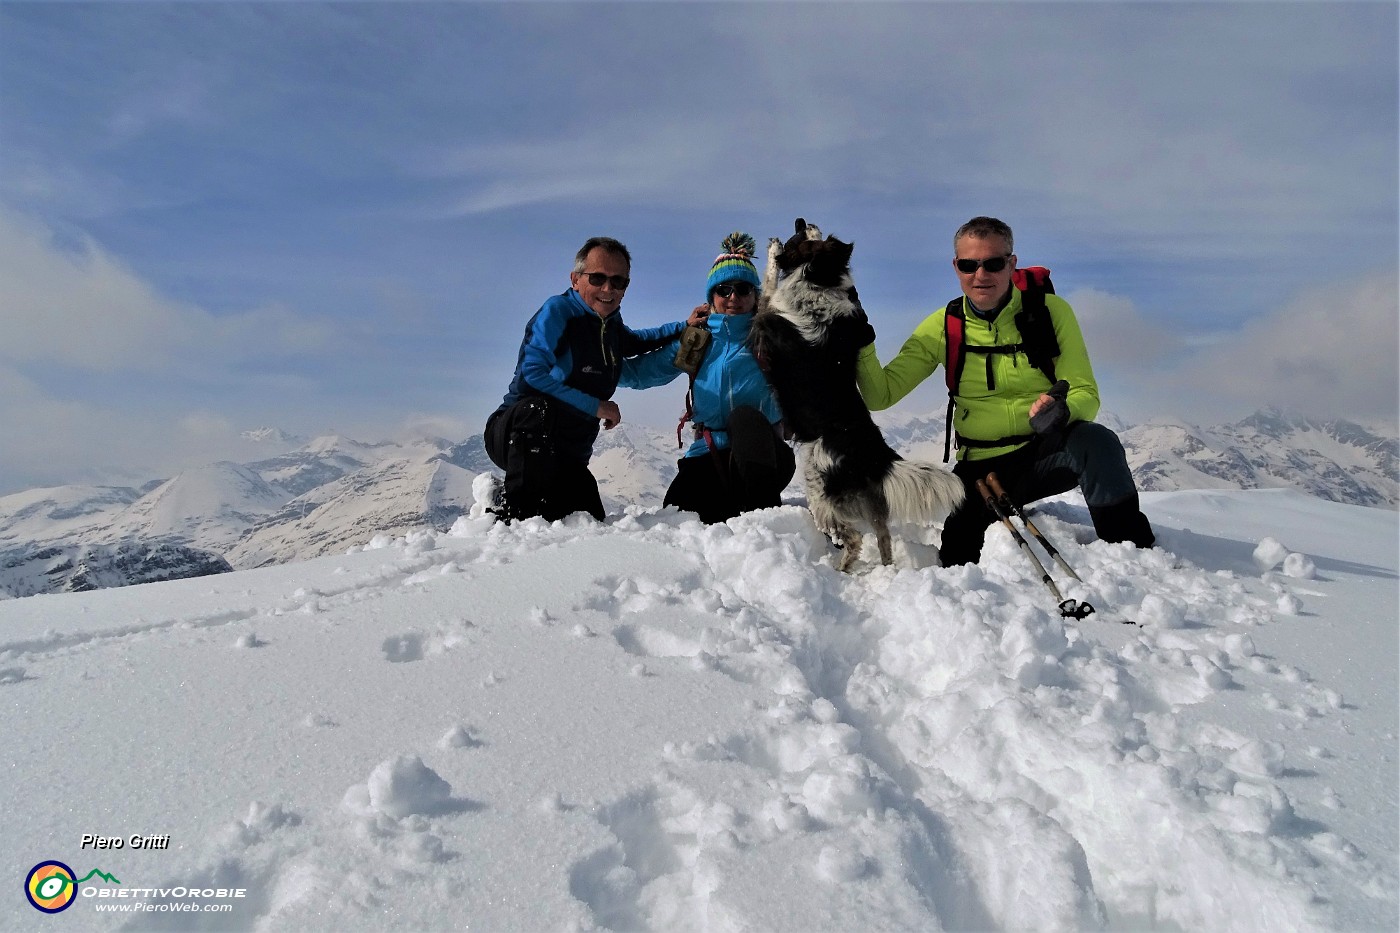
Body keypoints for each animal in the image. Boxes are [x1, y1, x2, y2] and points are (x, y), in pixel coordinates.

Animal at [756, 218, 963, 571]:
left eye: (804, 236)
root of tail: (876, 455)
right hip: (866, 502)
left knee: (852, 538)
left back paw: (840, 569)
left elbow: (768, 282)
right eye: (814, 232)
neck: (820, 280)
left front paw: (772, 249)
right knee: (883, 538)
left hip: (819, 490)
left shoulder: (767, 313)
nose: (804, 220)